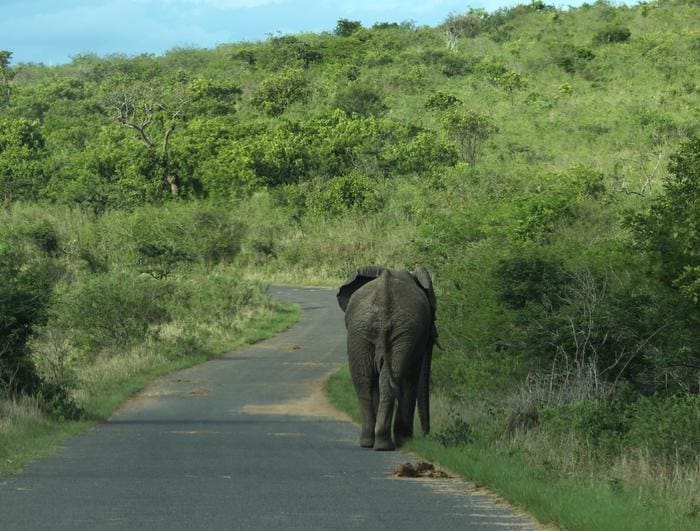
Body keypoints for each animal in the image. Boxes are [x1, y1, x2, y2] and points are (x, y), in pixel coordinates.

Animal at [337, 266, 438, 450]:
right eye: (433, 314)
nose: (425, 435)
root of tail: (384, 301)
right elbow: (412, 378)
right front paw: (405, 439)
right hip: (386, 331)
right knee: (388, 380)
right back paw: (384, 444)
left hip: (368, 332)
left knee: (366, 382)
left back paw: (373, 443)